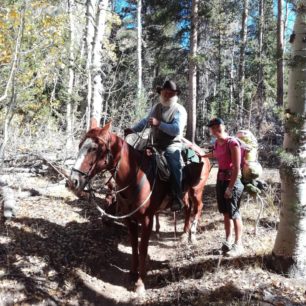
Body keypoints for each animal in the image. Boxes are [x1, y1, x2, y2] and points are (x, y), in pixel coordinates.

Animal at [69, 123, 210, 296]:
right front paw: (133, 273)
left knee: (198, 207)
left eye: (94, 148)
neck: (134, 176)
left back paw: (192, 236)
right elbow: (134, 247)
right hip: (183, 193)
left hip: (197, 190)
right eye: (80, 145)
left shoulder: (147, 219)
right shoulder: (130, 220)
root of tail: (202, 153)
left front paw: (140, 283)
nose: (73, 181)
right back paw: (184, 235)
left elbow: (143, 248)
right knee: (188, 208)